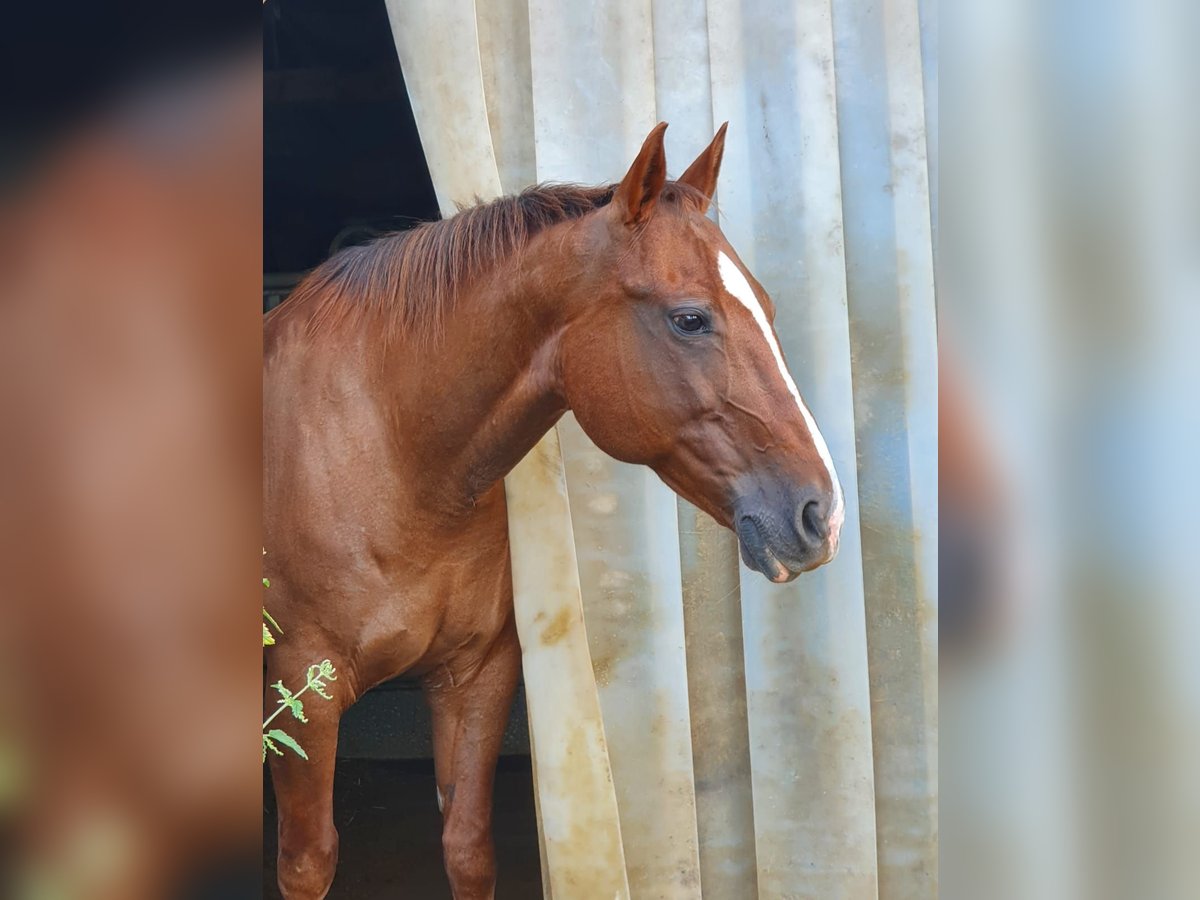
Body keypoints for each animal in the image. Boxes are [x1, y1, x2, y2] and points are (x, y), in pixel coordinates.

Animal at [265, 123, 844, 897]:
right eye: (690, 319)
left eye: (769, 308)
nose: (821, 513)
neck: (391, 450)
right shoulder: (304, 690)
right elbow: (307, 862)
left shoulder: (477, 675)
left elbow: (468, 847)